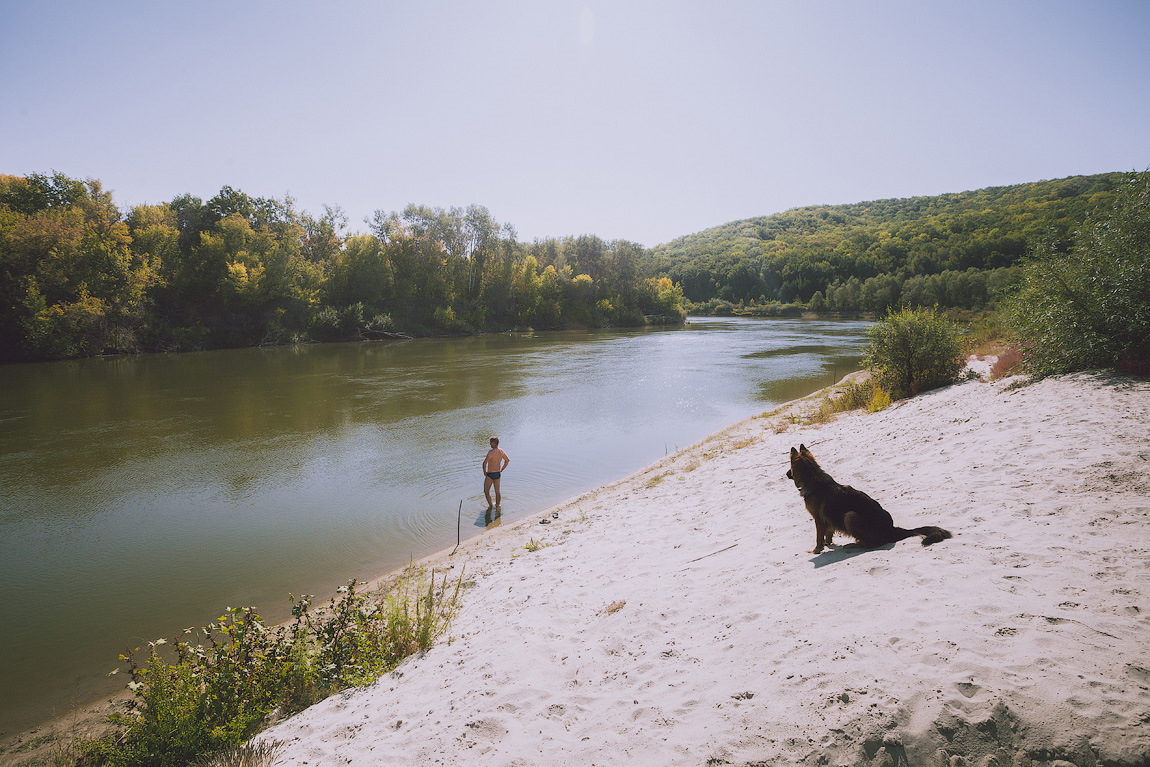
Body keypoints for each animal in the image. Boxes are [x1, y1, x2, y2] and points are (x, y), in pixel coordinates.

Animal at [782, 446, 952, 554]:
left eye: (790, 467)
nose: (786, 474)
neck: (812, 477)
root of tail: (892, 529)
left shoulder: (818, 518)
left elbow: (819, 537)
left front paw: (817, 550)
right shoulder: (827, 517)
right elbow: (829, 532)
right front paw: (828, 543)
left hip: (850, 516)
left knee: (871, 544)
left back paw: (854, 545)